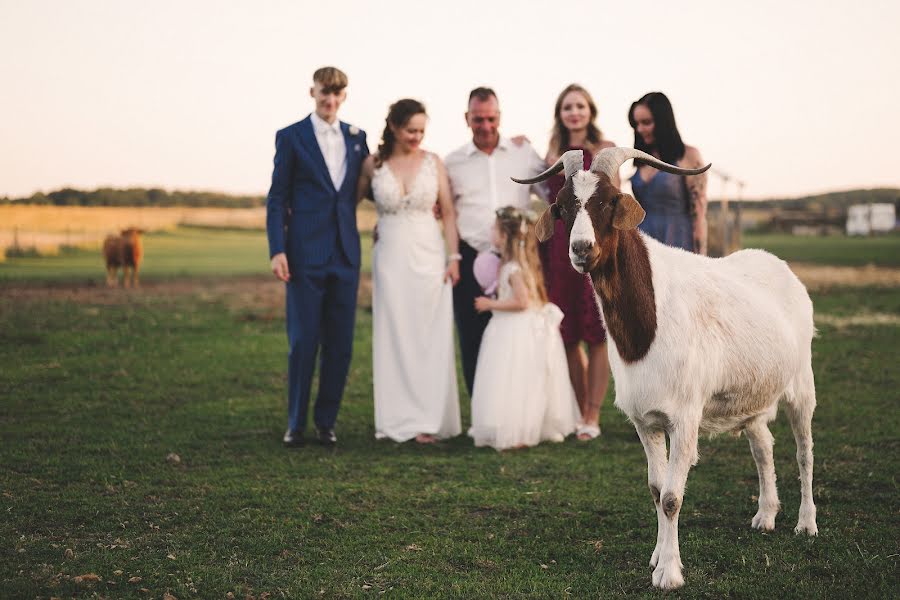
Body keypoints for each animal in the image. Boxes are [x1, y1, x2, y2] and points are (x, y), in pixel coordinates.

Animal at [512, 148, 816, 588]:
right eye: (564, 206)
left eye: (609, 201)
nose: (581, 250)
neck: (648, 324)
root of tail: (780, 266)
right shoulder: (645, 420)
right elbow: (656, 490)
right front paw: (658, 557)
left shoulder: (685, 417)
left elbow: (672, 497)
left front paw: (670, 573)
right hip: (753, 394)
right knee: (763, 446)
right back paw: (765, 515)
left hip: (802, 383)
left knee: (804, 451)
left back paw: (806, 523)